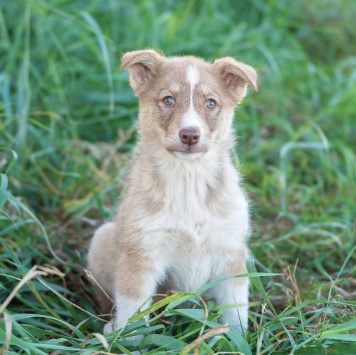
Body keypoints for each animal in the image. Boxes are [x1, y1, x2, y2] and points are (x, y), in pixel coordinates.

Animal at [87, 48, 258, 336]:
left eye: (210, 103)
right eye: (168, 100)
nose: (190, 135)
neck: (188, 181)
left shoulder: (231, 256)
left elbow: (235, 313)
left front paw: (238, 340)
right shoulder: (142, 255)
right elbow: (132, 314)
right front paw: (127, 340)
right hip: (102, 238)